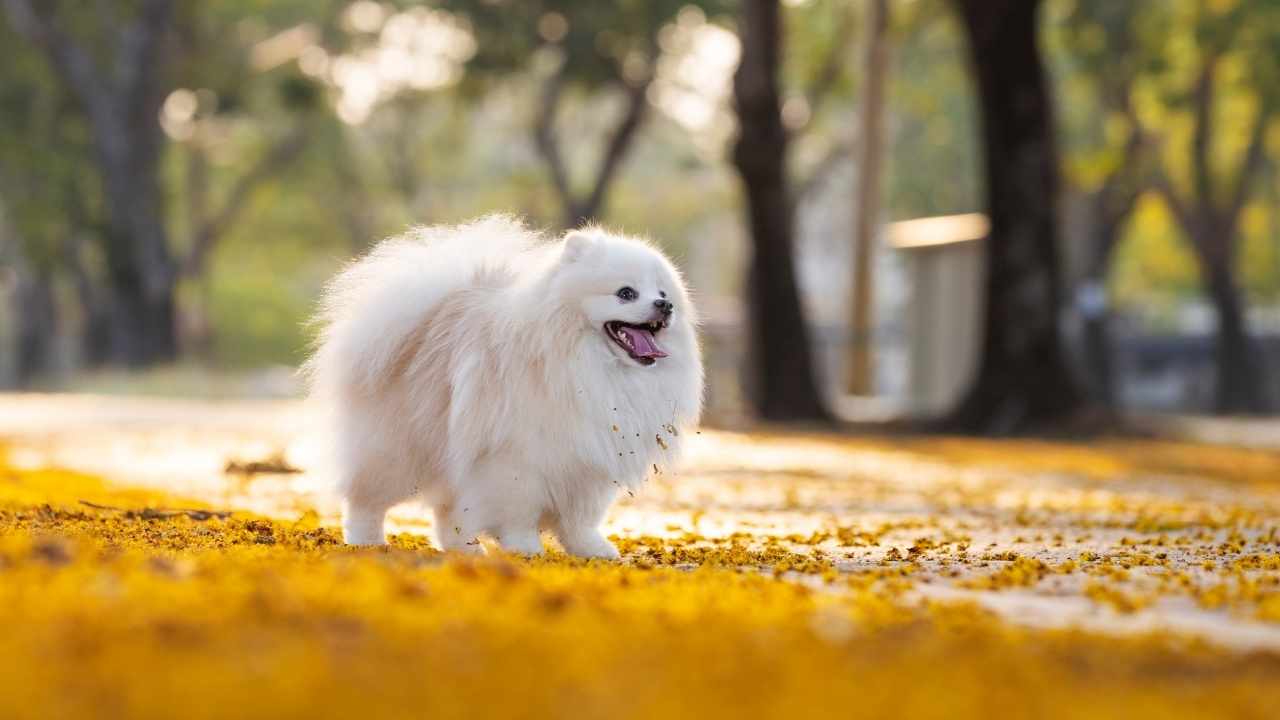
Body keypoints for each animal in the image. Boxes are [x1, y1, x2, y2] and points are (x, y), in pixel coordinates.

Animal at [305, 212, 706, 556]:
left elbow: (580, 517)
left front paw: (591, 548)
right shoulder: (516, 459)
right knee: (366, 500)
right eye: (626, 293)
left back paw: (466, 550)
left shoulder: (589, 459)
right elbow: (518, 511)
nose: (664, 306)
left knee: (447, 512)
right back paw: (367, 542)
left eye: (663, 294)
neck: (591, 366)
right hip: (399, 450)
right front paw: (525, 547)